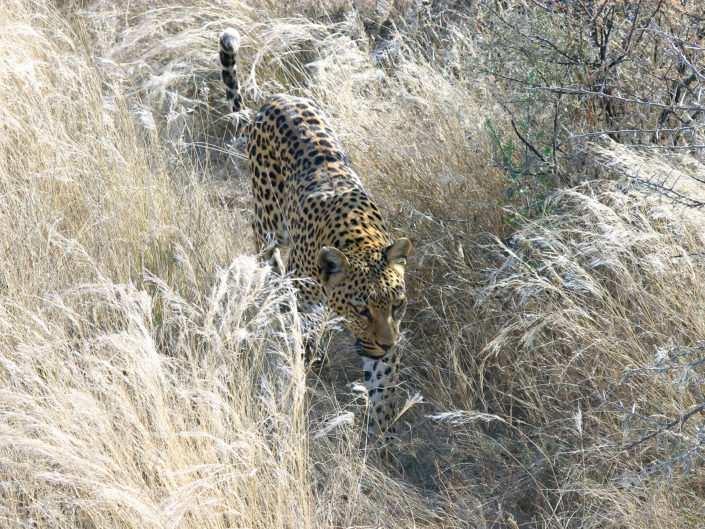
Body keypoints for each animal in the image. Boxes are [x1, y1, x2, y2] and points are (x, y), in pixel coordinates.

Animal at [218, 28, 411, 436]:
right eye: (361, 308)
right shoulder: (306, 298)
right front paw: (306, 361)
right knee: (266, 251)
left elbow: (381, 382)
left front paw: (379, 432)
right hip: (269, 220)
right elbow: (303, 332)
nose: (389, 344)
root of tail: (274, 99)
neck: (360, 240)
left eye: (397, 305)